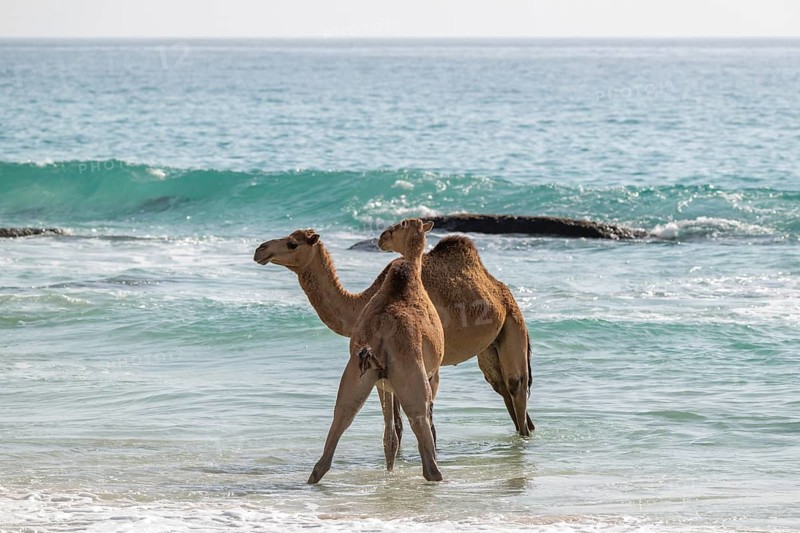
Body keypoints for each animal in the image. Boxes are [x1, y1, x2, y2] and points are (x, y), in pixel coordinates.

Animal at [254, 226, 533, 437]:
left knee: (515, 384)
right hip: (490, 347)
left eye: (292, 244)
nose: (260, 250)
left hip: (513, 324)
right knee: (501, 387)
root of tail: (503, 292)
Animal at [308, 219, 445, 483]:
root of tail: (380, 336)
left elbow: (389, 434)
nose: (382, 237)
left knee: (340, 418)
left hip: (357, 375)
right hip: (413, 376)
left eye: (399, 225)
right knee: (422, 422)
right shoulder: (430, 374)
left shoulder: (383, 384)